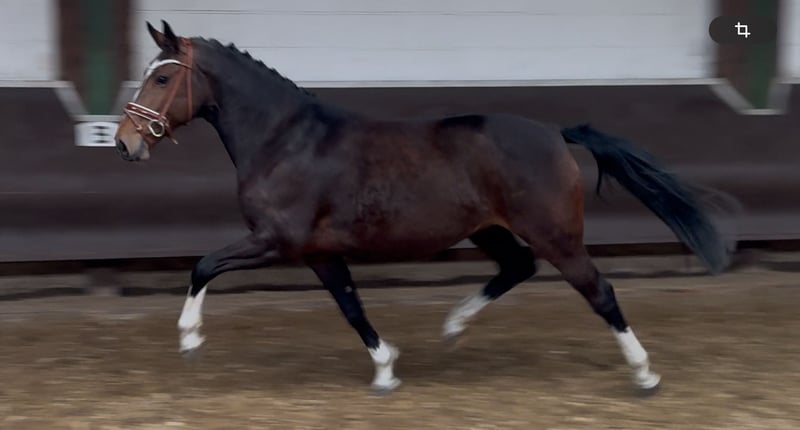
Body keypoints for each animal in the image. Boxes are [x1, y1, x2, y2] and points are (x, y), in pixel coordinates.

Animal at [115, 21, 733, 394]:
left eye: (163, 77)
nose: (124, 143)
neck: (286, 141)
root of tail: (555, 133)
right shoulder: (318, 252)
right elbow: (351, 305)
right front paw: (386, 368)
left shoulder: (276, 241)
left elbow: (204, 265)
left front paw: (189, 339)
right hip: (488, 229)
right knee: (518, 265)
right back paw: (454, 326)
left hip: (556, 234)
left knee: (598, 291)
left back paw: (645, 374)